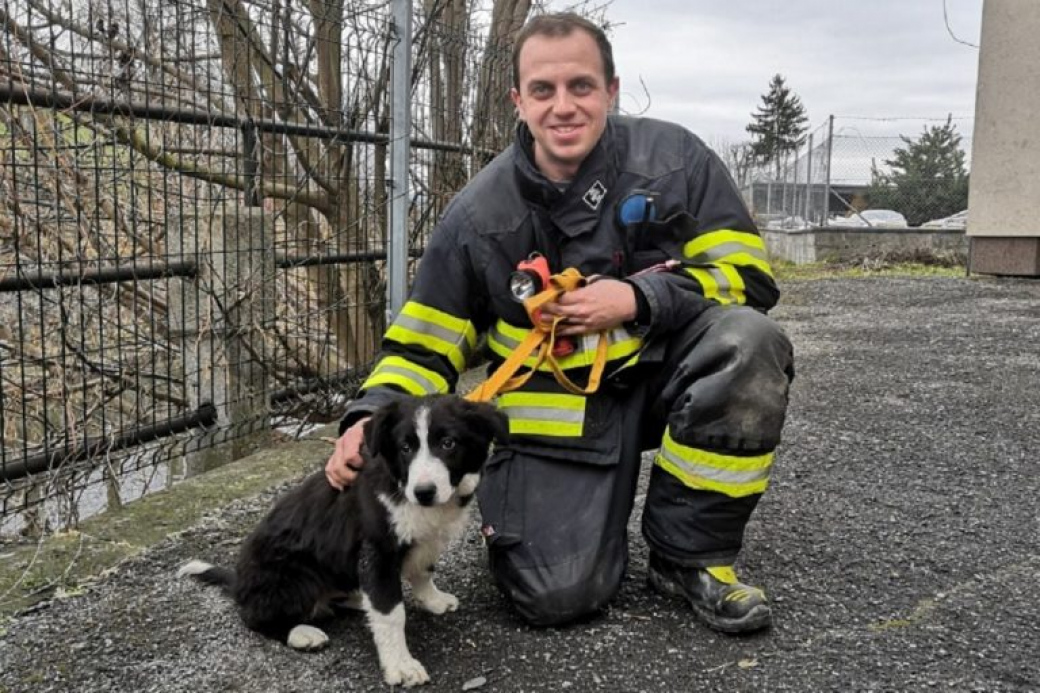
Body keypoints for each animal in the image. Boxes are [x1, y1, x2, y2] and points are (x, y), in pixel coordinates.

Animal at [179, 393, 511, 686]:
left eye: (448, 443)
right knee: (255, 618)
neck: (400, 484)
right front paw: (400, 666)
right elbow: (391, 614)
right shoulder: (377, 554)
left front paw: (433, 599)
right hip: (294, 578)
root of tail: (240, 583)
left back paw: (355, 599)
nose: (424, 492)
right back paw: (302, 633)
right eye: (405, 447)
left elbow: (423, 571)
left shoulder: (423, 541)